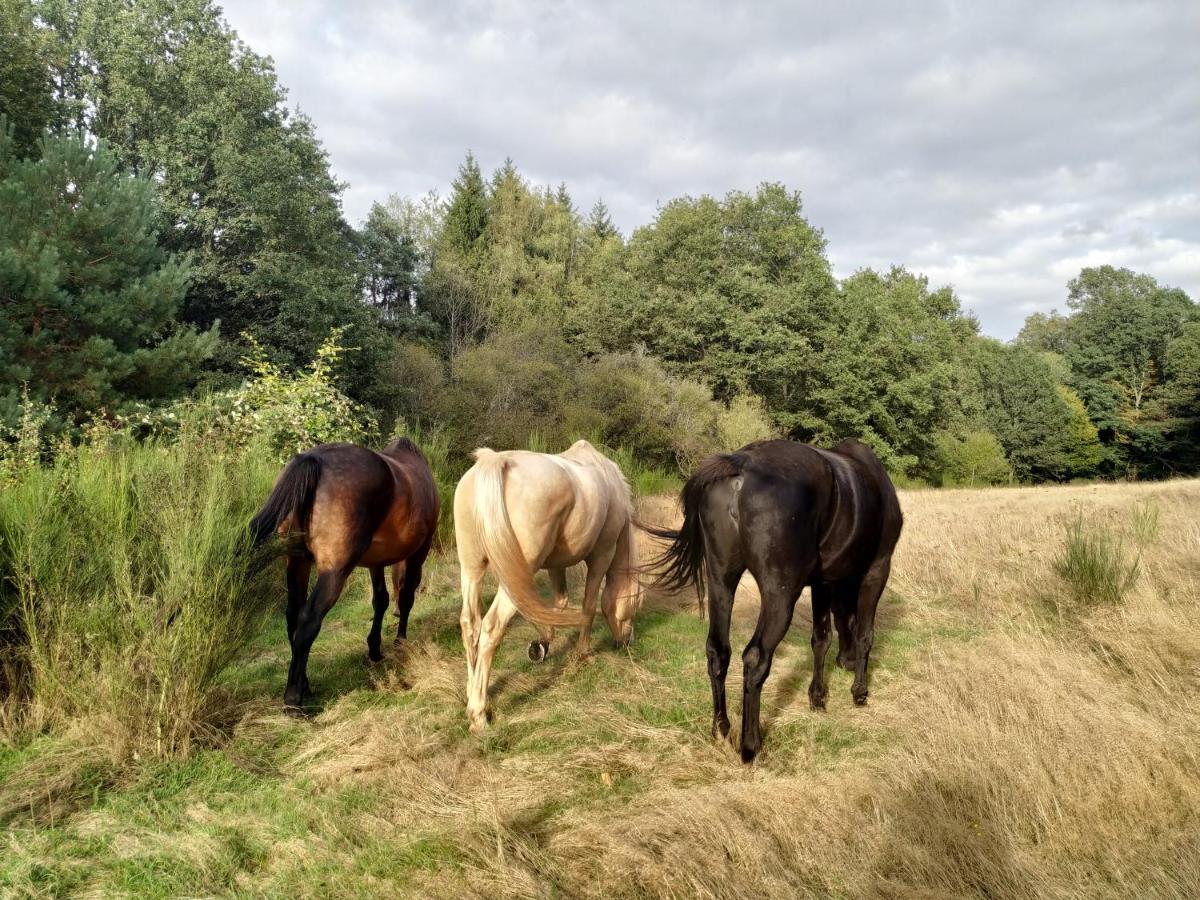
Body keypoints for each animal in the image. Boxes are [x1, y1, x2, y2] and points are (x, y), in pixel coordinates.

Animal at [250, 439, 439, 720]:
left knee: (293, 616)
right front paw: (400, 643)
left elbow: (380, 600)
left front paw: (375, 648)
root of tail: (314, 459)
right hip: (334, 570)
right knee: (308, 620)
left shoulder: (375, 562)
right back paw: (294, 699)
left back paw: (304, 684)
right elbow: (405, 598)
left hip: (297, 561)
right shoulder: (418, 553)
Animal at [453, 441, 643, 734]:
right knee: (491, 626)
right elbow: (588, 606)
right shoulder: (601, 556)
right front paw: (582, 654)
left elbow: (558, 603)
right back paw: (479, 715)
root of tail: (494, 462)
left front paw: (542, 644)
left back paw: (472, 694)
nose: (627, 641)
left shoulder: (555, 564)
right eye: (635, 604)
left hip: (472, 569)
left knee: (470, 625)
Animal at [657, 441, 902, 763]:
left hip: (721, 581)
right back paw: (750, 745)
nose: (845, 662)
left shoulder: (823, 583)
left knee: (717, 651)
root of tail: (741, 464)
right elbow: (864, 634)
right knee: (755, 658)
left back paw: (721, 729)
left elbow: (821, 638)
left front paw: (818, 697)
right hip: (780, 595)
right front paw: (859, 692)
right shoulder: (876, 570)